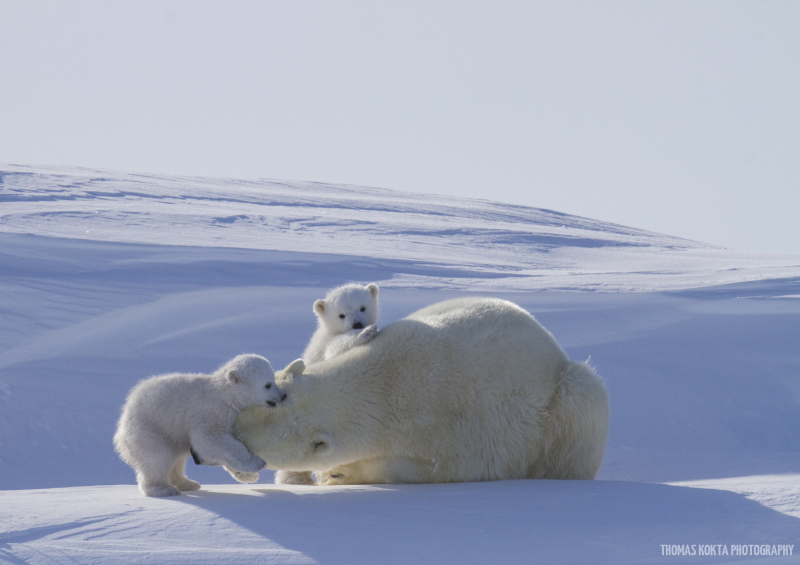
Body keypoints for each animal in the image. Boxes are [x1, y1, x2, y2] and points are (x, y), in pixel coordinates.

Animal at [234, 298, 608, 482]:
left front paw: (341, 473)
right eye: (262, 400)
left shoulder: (457, 428)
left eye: (253, 449)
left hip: (563, 399)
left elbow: (441, 468)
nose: (232, 430)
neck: (387, 381)